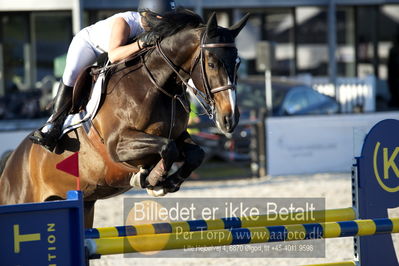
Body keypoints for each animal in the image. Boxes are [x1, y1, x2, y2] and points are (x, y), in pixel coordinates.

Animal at [0, 10, 248, 227]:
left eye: (237, 63)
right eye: (212, 63)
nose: (230, 119)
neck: (157, 83)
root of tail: (12, 160)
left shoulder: (178, 135)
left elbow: (195, 153)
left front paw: (165, 182)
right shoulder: (117, 145)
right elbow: (167, 148)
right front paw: (154, 179)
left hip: (85, 206)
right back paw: (46, 136)